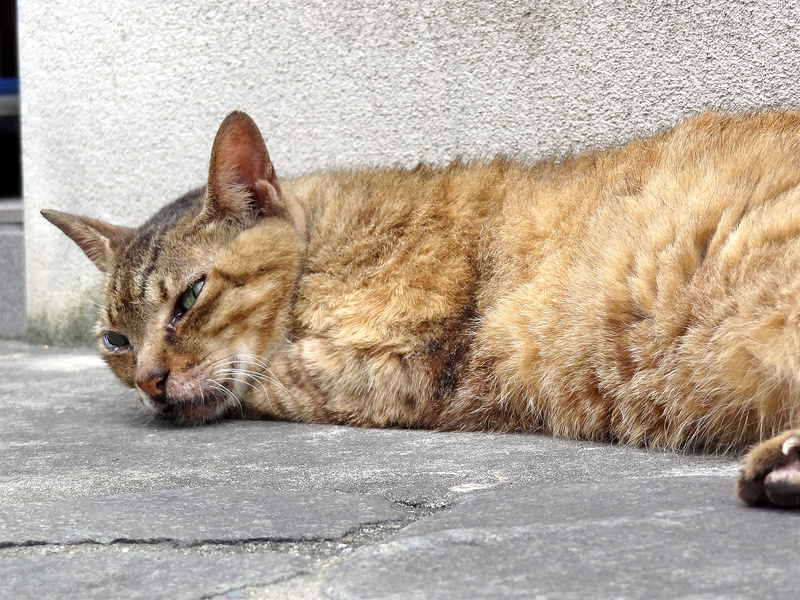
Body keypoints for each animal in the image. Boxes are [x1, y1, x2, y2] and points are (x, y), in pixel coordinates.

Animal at [43, 109, 800, 506]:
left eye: (190, 297)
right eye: (114, 341)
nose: (149, 381)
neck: (321, 245)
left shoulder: (397, 362)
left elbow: (265, 378)